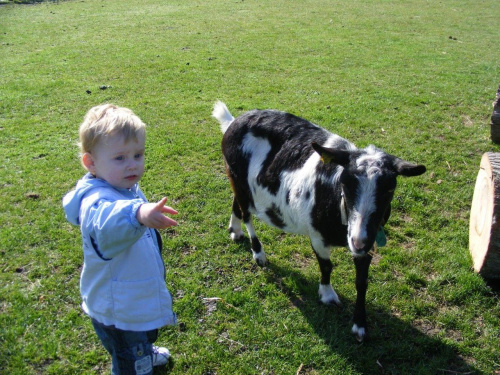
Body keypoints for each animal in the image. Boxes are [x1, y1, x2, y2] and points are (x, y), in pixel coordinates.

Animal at [213, 101, 428, 342]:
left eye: (390, 188)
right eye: (345, 183)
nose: (358, 241)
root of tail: (233, 122)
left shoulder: (367, 241)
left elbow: (361, 282)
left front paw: (359, 326)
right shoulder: (317, 236)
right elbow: (326, 266)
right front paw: (327, 295)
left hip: (238, 182)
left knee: (237, 204)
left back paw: (235, 230)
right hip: (237, 177)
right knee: (247, 214)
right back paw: (258, 253)